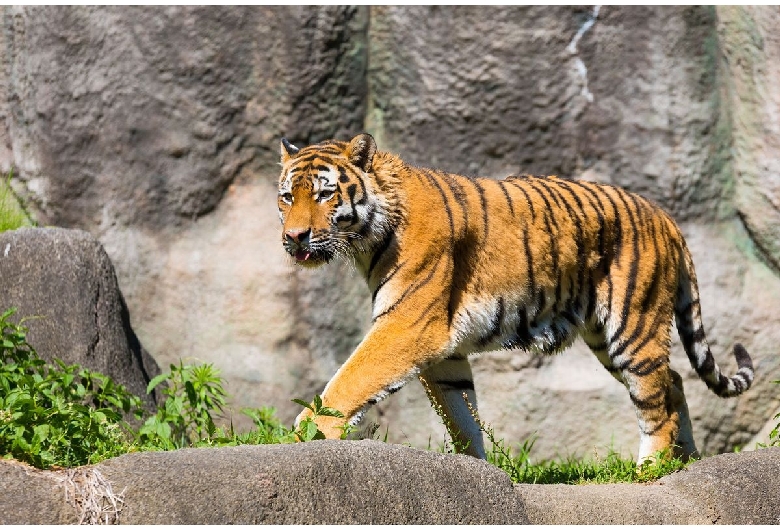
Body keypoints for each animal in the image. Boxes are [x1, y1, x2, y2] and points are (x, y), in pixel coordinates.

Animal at [276, 132, 756, 462]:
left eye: (324, 194)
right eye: (286, 197)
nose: (294, 237)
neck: (367, 238)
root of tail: (665, 216)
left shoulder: (407, 324)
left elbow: (350, 380)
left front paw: (305, 434)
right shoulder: (442, 349)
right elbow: (461, 413)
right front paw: (475, 467)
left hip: (631, 327)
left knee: (657, 403)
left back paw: (651, 471)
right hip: (606, 337)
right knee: (673, 381)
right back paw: (686, 460)